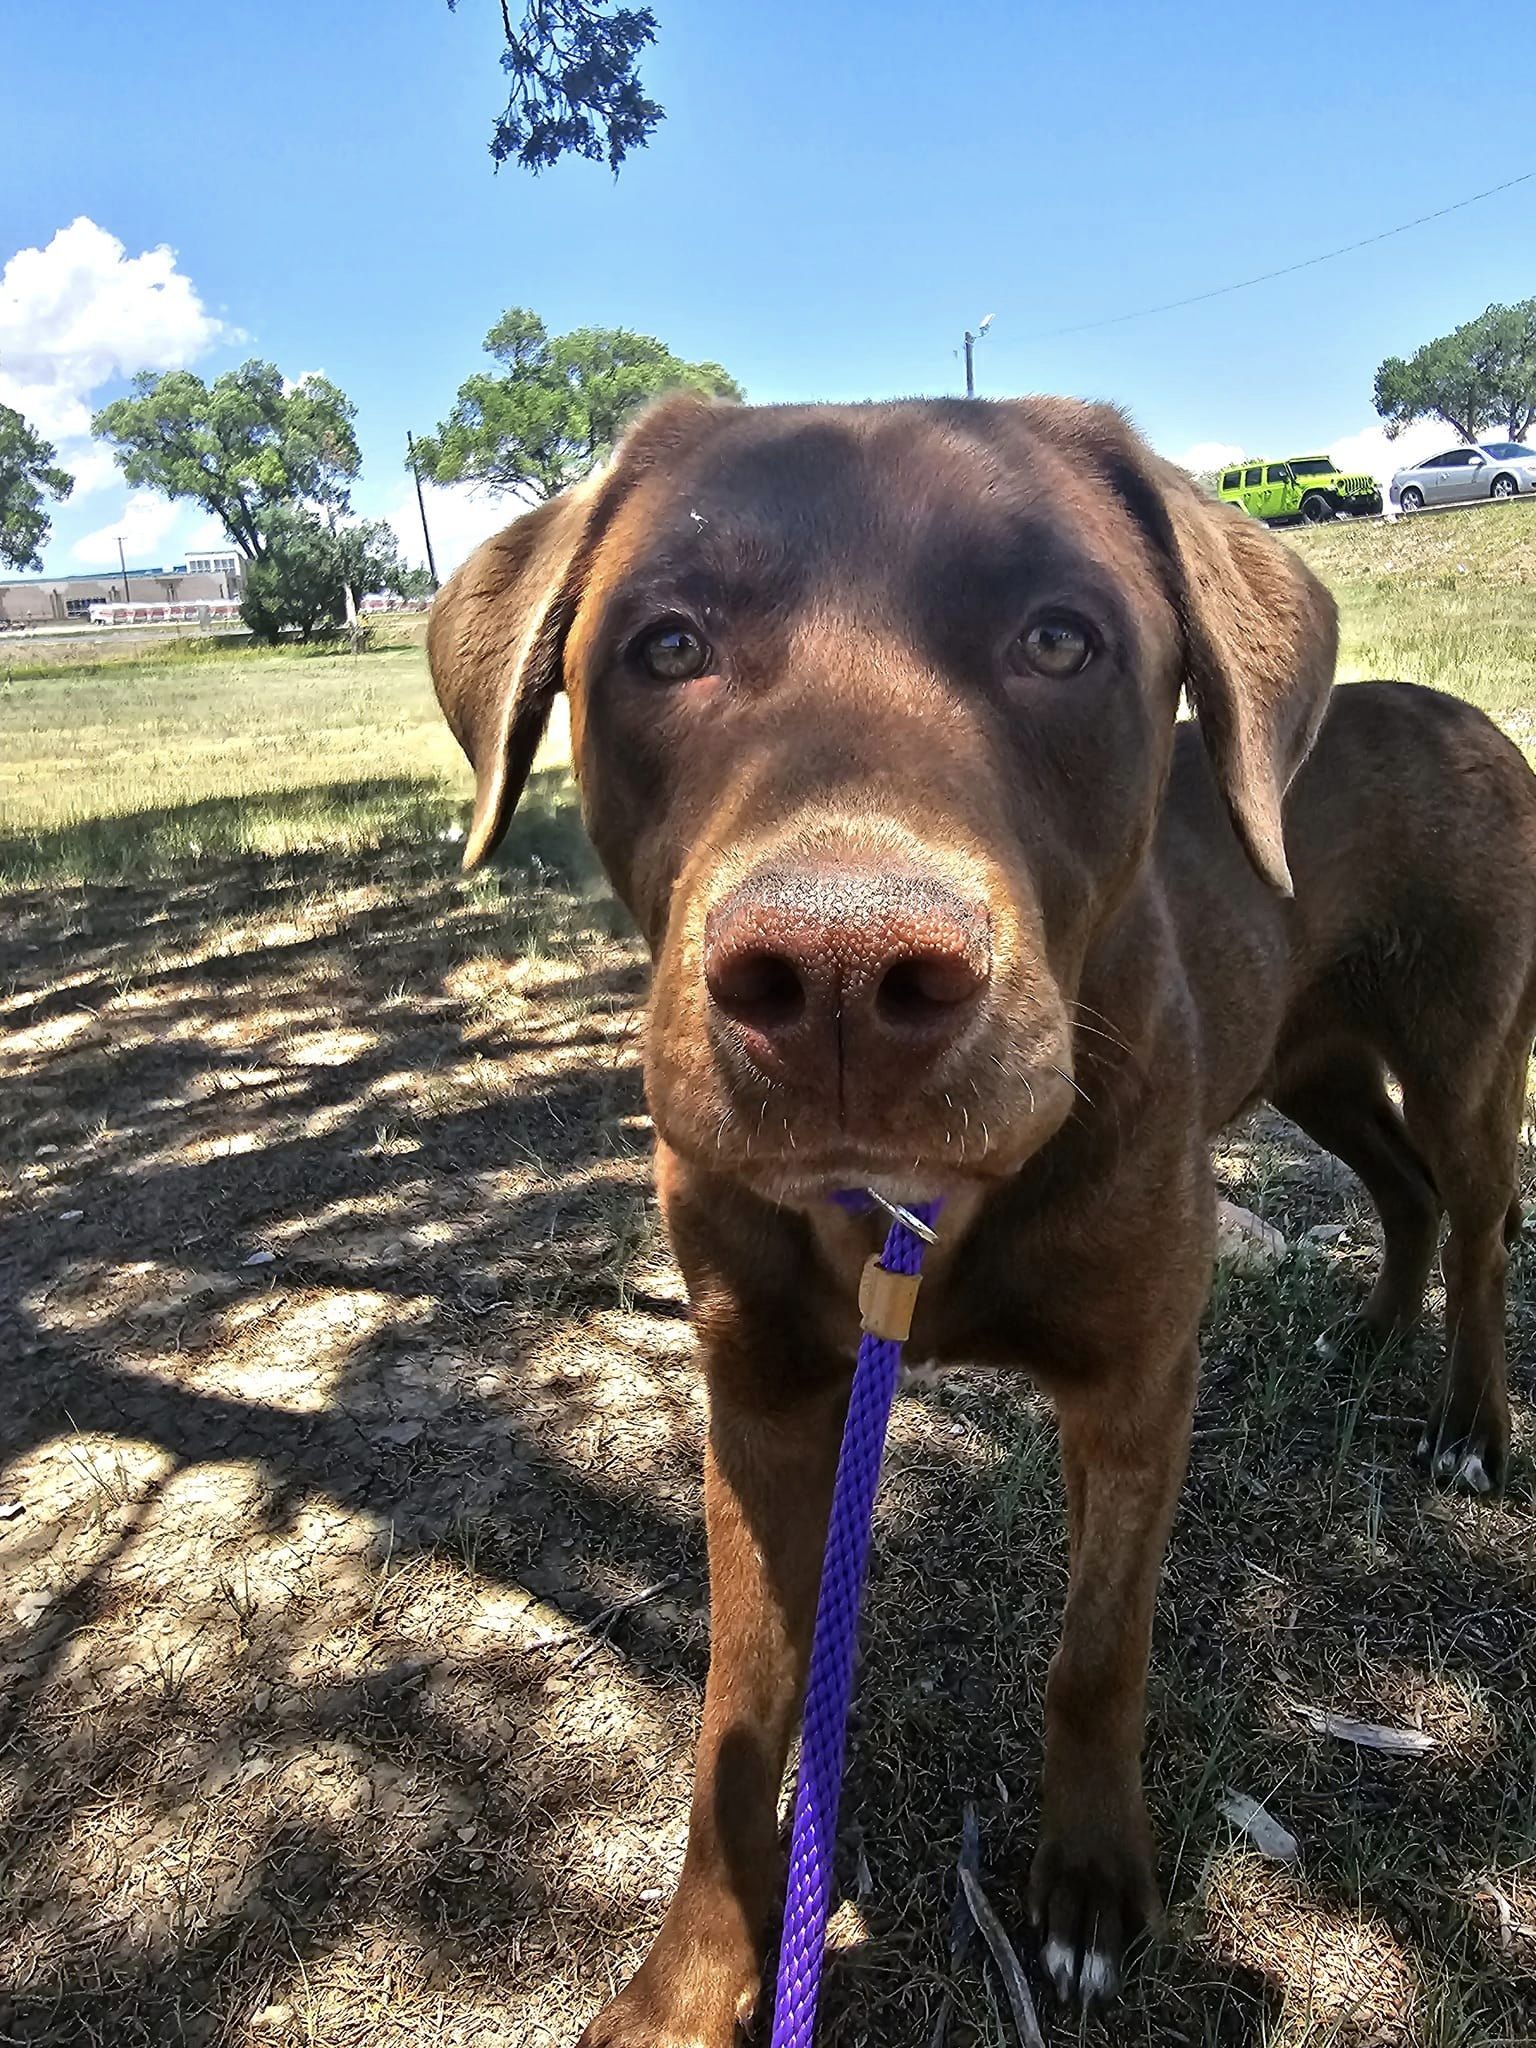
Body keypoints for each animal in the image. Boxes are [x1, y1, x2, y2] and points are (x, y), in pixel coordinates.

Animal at [423, 391, 1536, 2039]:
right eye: (665, 644)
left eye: (1061, 639)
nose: (838, 974)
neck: (909, 1211)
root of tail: (1465, 715)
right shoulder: (760, 1400)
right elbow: (736, 1724)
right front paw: (694, 1976)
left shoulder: (1134, 1384)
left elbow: (1098, 1651)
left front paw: (1086, 1886)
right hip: (1311, 1056)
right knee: (1393, 1187)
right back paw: (1366, 1336)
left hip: (1462, 1047)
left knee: (1471, 1218)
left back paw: (1468, 1423)